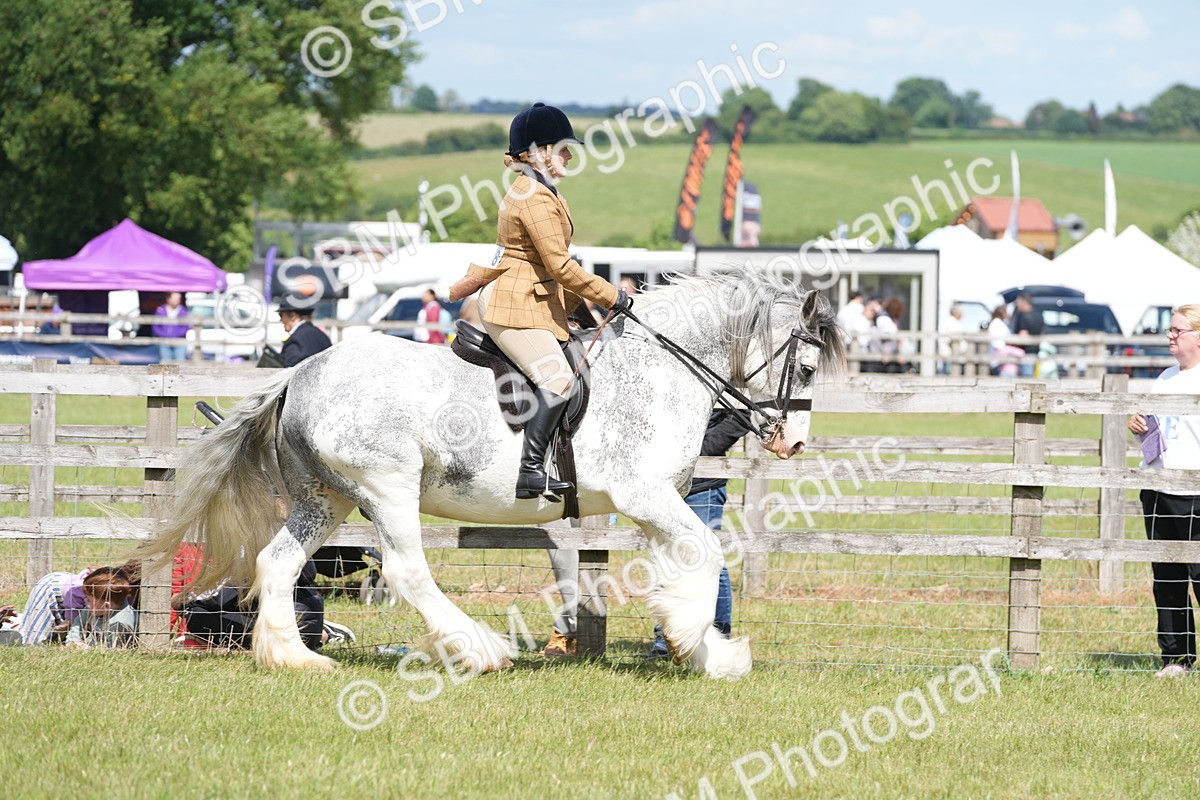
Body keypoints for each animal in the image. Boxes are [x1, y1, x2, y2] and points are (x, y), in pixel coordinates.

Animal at [139, 272, 844, 679]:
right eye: (808, 369)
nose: (793, 442)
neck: (662, 368)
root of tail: (301, 374)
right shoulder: (644, 495)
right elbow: (705, 554)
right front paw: (700, 643)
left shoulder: (659, 503)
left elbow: (688, 562)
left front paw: (703, 649)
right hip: (387, 486)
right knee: (405, 570)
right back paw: (479, 649)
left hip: (326, 497)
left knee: (278, 562)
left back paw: (297, 657)